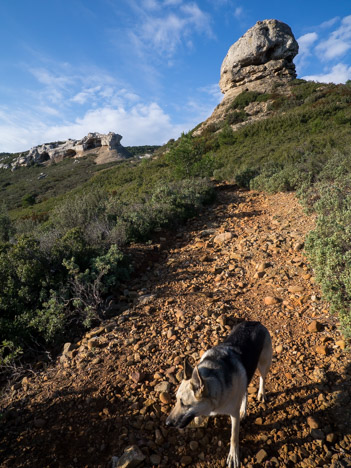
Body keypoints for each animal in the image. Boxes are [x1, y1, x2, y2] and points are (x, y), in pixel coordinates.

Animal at [166, 320, 274, 466]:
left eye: (184, 404)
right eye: (176, 400)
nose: (167, 423)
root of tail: (255, 322)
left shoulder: (233, 415)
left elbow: (233, 437)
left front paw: (233, 456)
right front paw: (198, 419)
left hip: (263, 363)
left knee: (262, 378)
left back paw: (261, 393)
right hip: (245, 376)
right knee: (244, 390)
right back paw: (243, 409)